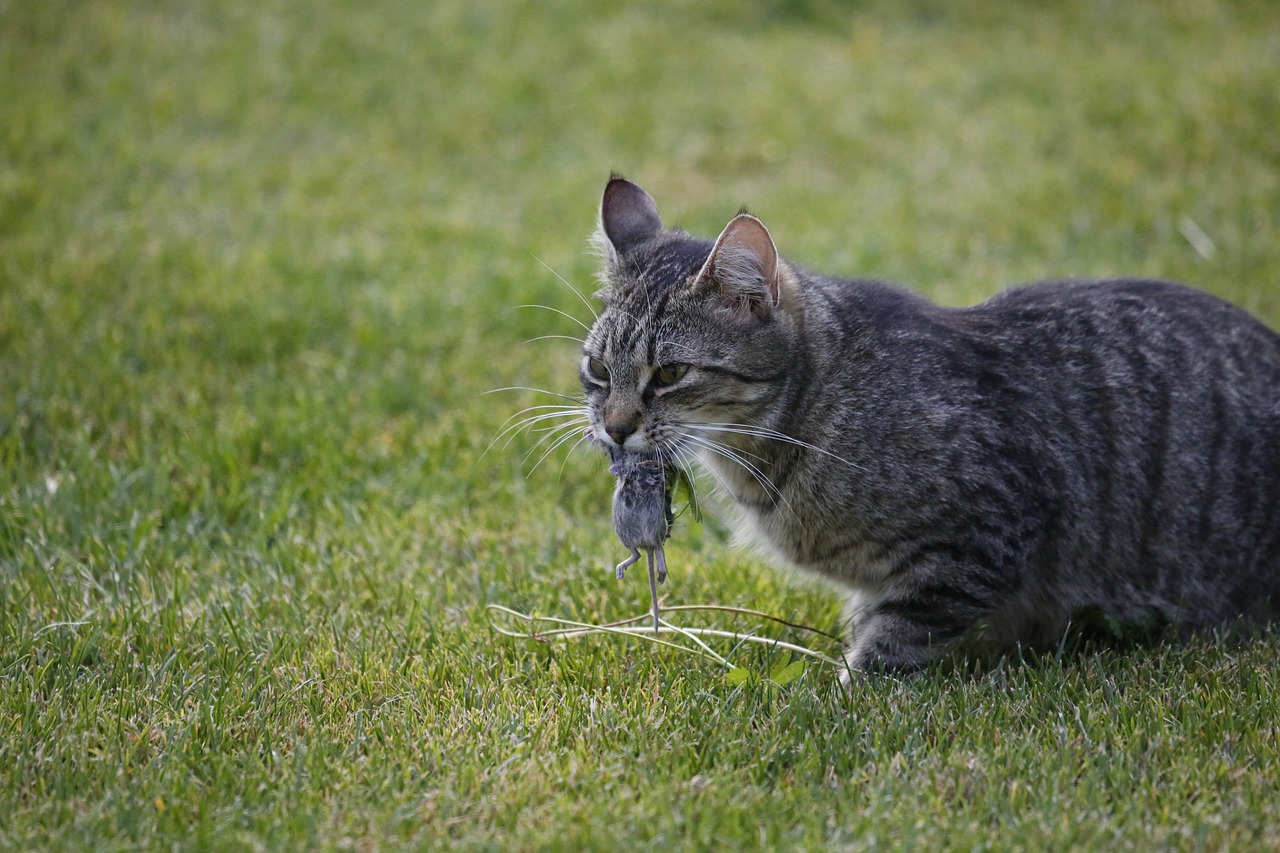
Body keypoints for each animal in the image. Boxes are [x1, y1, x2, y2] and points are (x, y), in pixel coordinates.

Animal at [581, 175, 1280, 676]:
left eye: (670, 373)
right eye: (597, 368)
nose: (615, 429)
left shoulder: (982, 534)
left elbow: (896, 635)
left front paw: (848, 693)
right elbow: (872, 617)